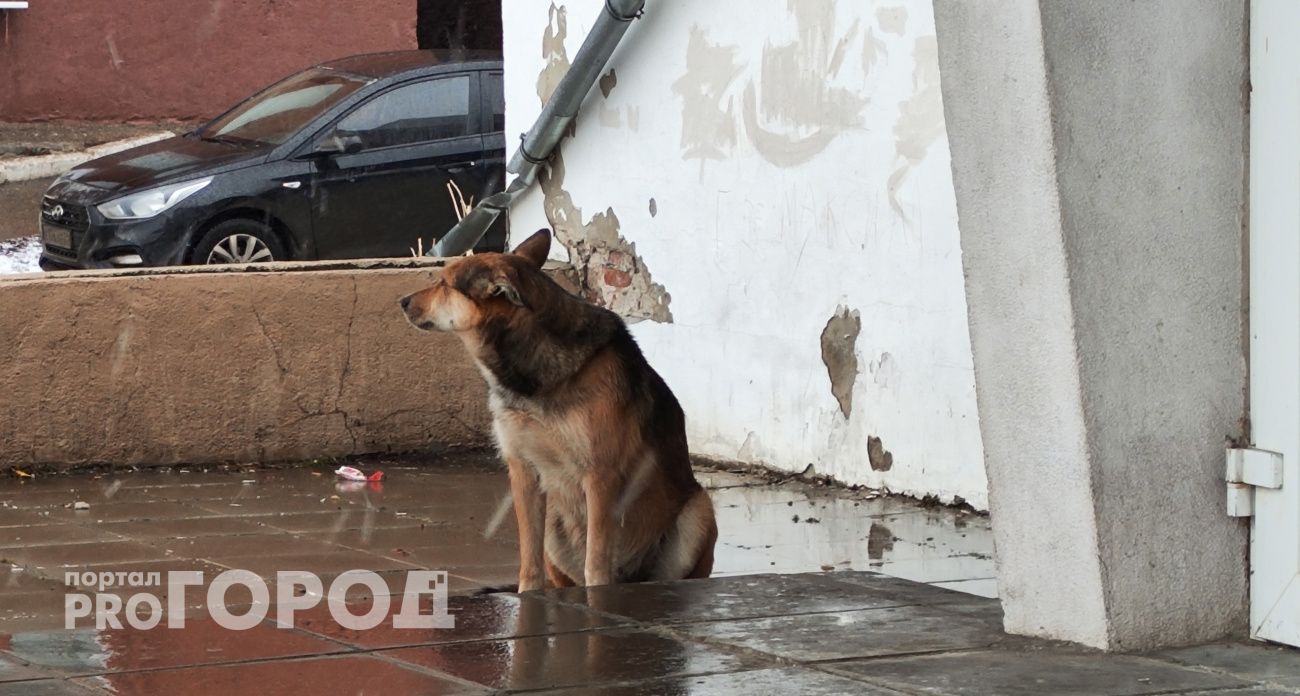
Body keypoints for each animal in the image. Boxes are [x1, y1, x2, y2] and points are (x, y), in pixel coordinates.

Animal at [397, 228, 717, 588]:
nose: (402, 302)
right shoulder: (522, 471)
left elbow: (596, 559)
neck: (532, 375)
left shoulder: (600, 475)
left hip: (698, 511)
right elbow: (529, 559)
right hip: (553, 520)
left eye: (444, 283)